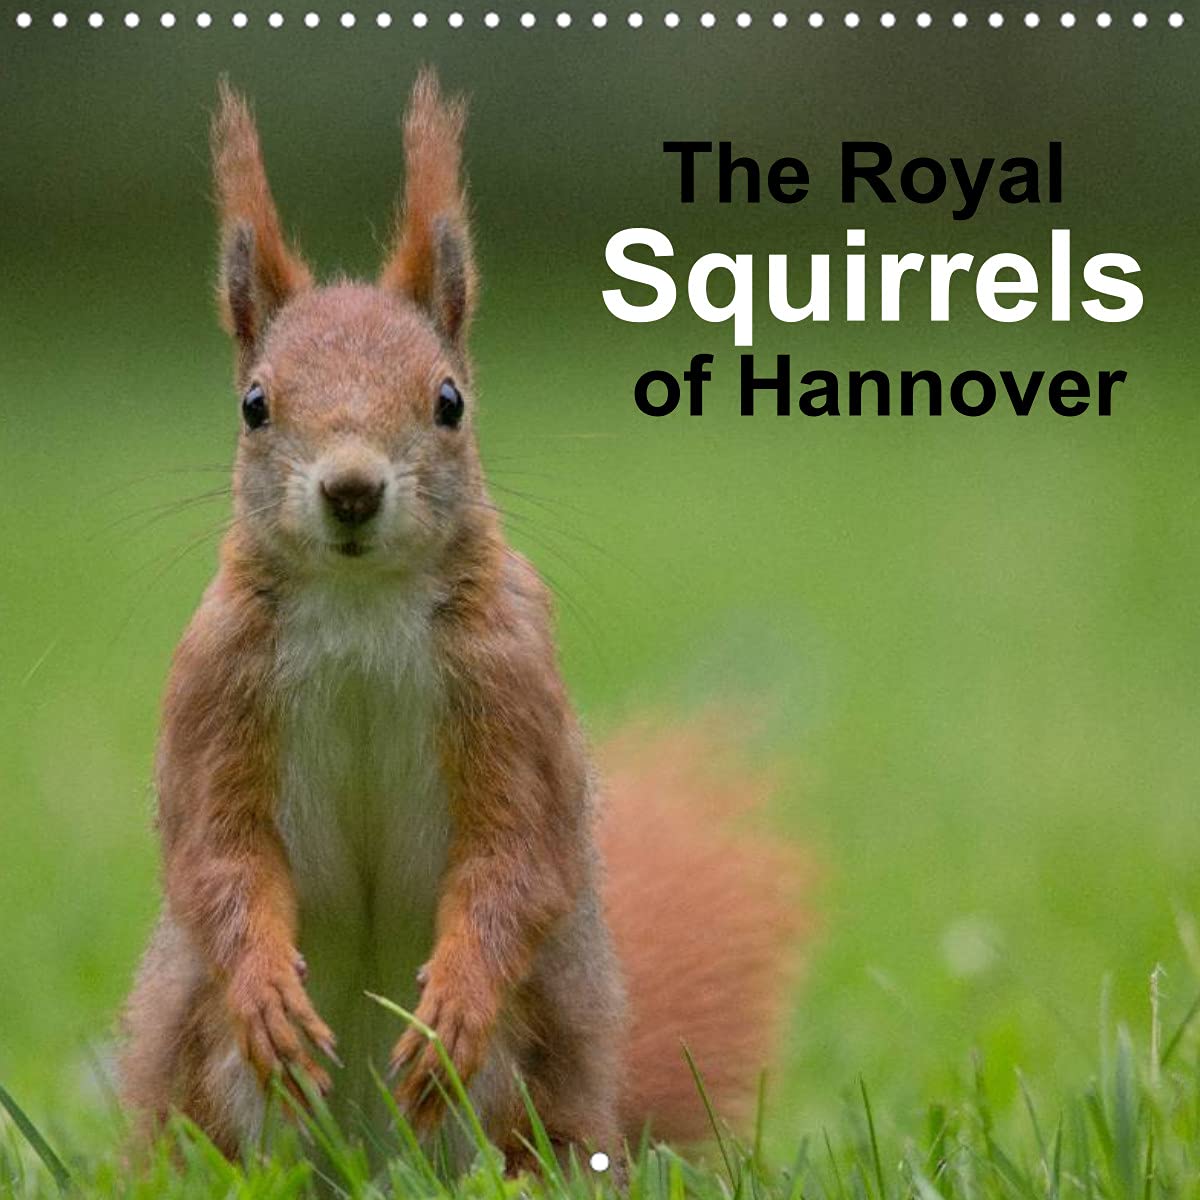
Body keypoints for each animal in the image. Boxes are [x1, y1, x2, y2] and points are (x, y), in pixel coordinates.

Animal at [117, 70, 805, 1172]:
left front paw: (452, 1006)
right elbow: (215, 855)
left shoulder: (509, 687)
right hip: (211, 1070)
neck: (360, 608)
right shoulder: (216, 692)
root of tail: (367, 1165)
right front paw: (265, 988)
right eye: (254, 405)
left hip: (529, 1069)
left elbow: (517, 859)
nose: (352, 489)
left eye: (449, 401)